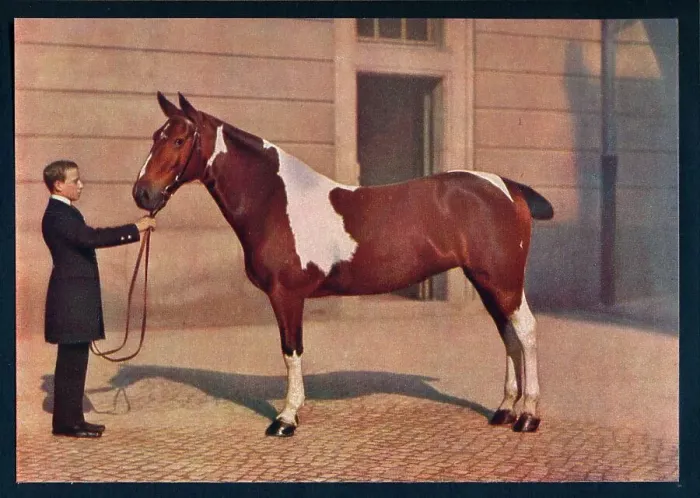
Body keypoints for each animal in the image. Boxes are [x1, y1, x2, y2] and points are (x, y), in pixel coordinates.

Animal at [132, 92, 554, 437]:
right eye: (154, 136)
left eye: (178, 139)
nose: (142, 193)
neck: (274, 200)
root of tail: (507, 187)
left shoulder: (287, 296)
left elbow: (291, 351)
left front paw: (286, 418)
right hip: (487, 282)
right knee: (508, 335)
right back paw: (504, 410)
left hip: (502, 280)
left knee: (526, 332)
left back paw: (528, 416)